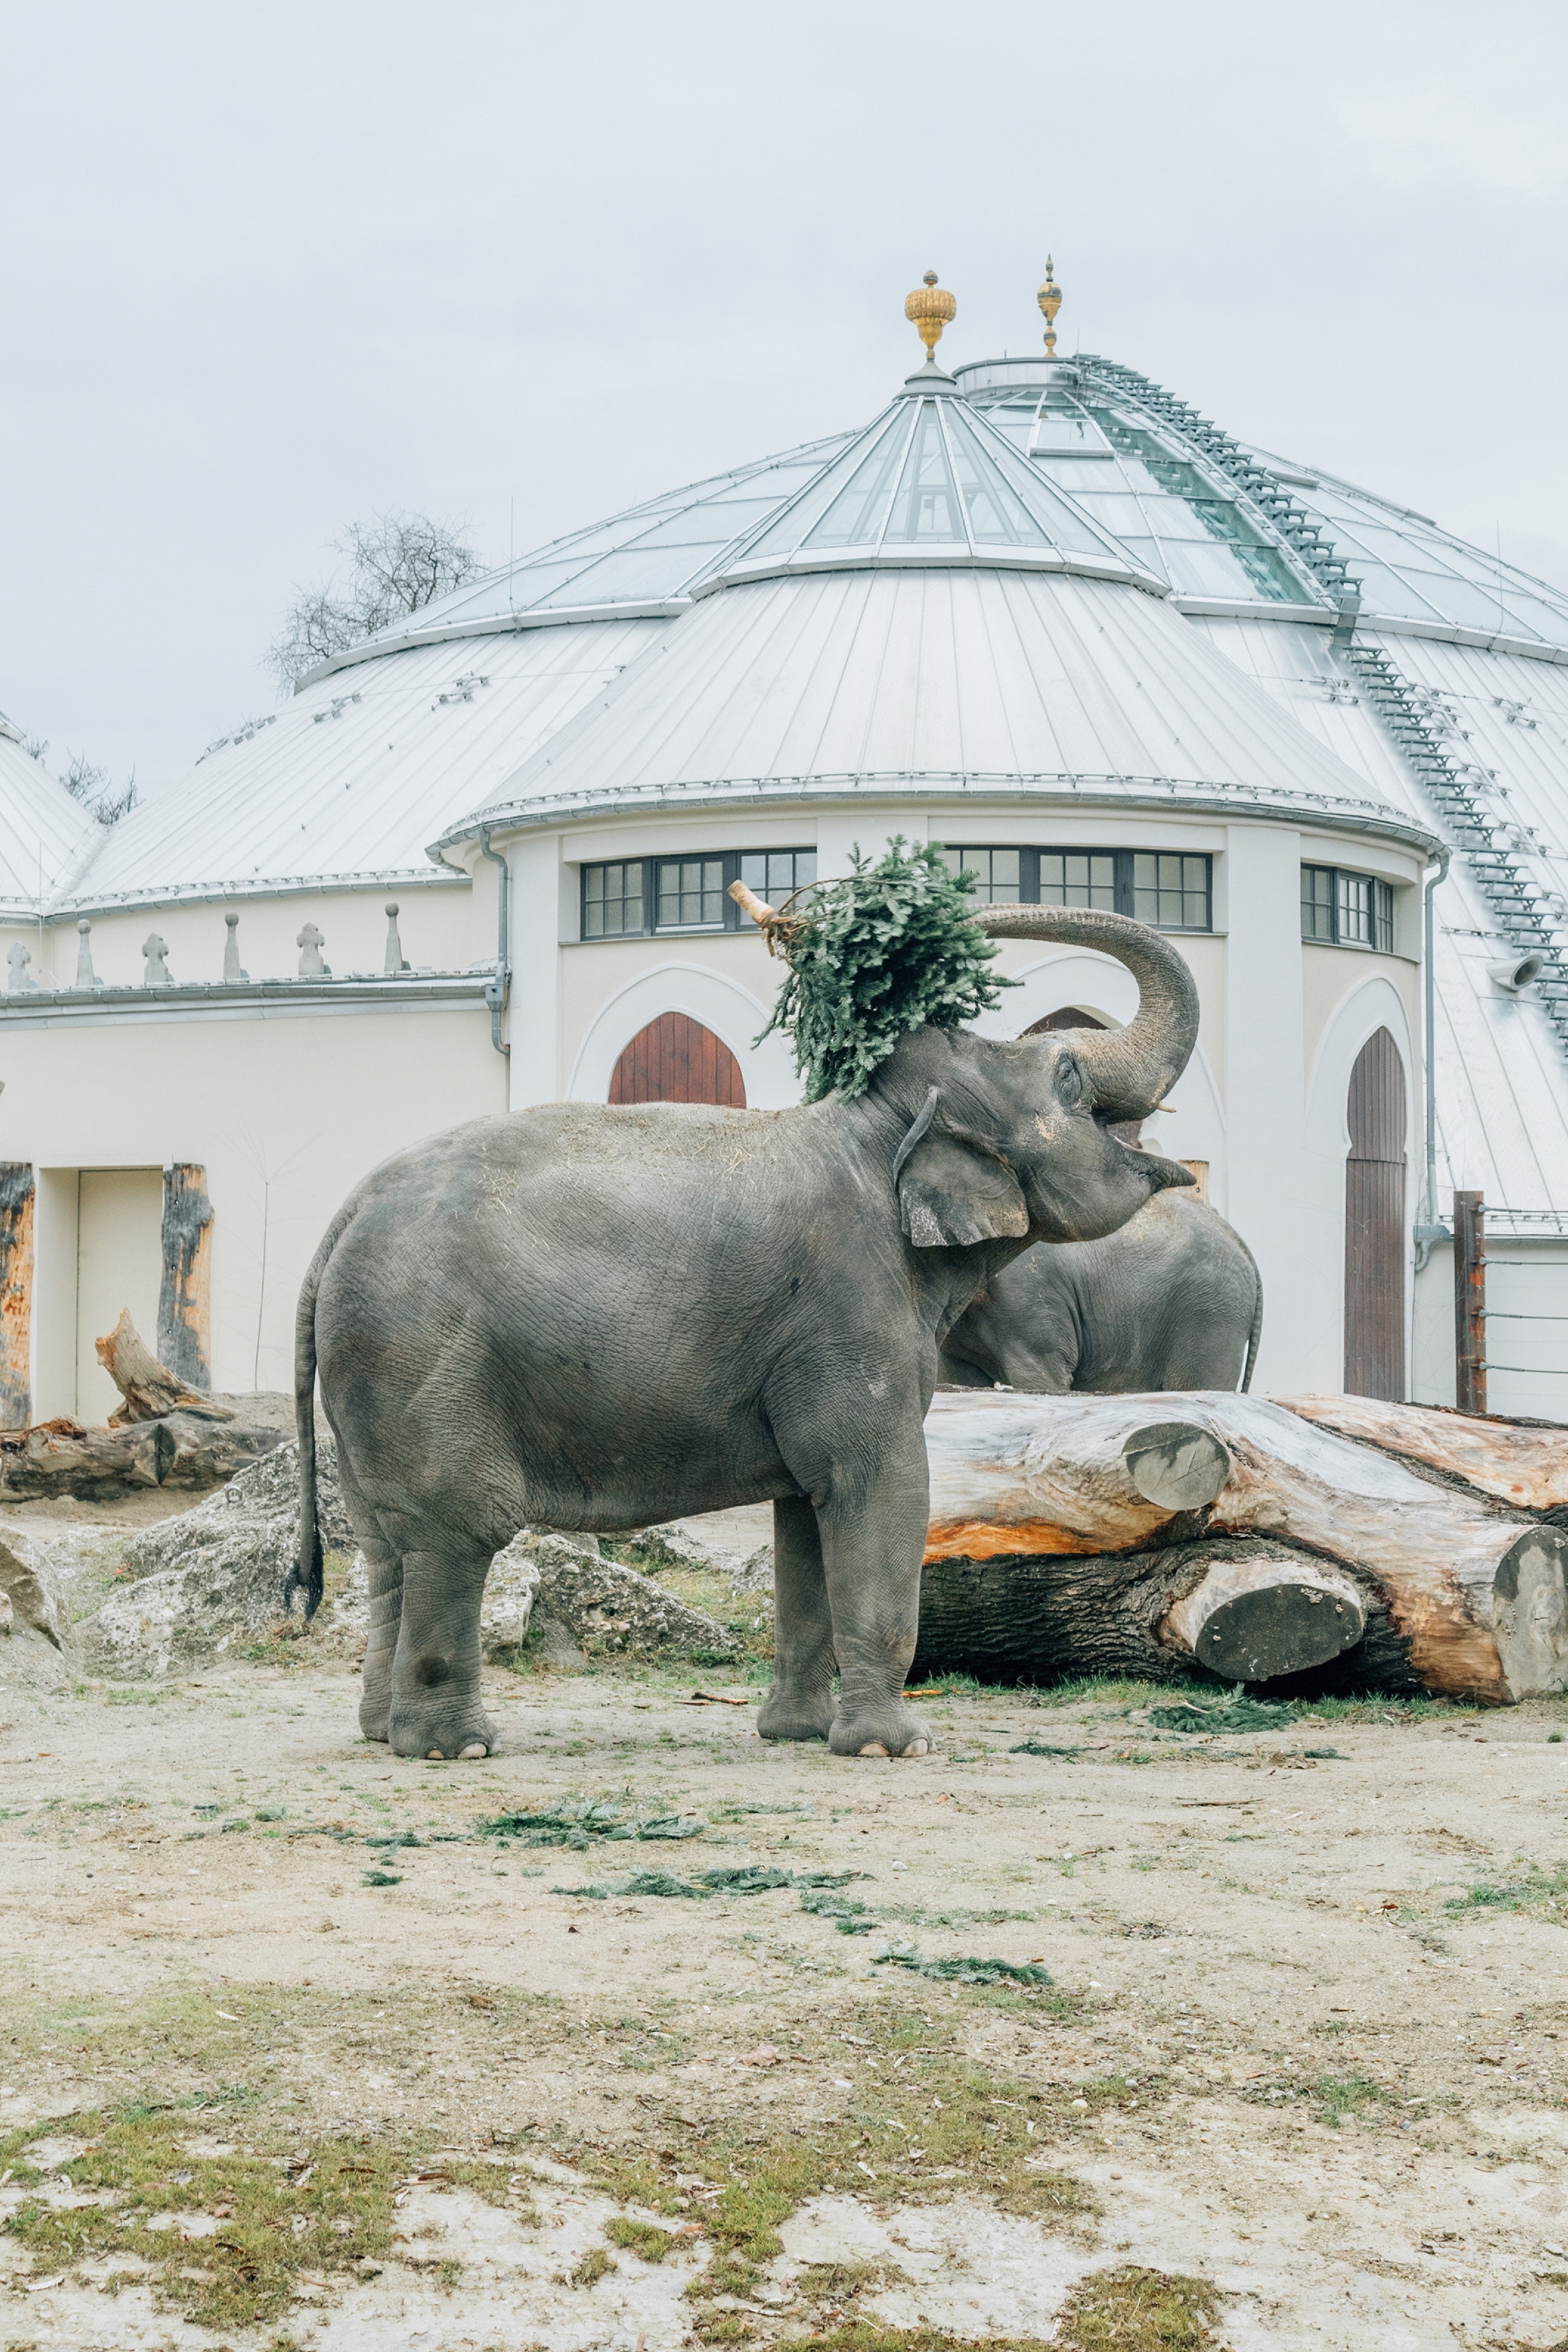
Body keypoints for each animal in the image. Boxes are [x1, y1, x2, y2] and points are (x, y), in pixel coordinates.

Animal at [288, 904, 1199, 1764]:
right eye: (1070, 1077)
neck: (878, 1123)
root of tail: (338, 1223)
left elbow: (804, 1514)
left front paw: (795, 1734)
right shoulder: (850, 1307)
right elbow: (879, 1484)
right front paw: (893, 1747)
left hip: (364, 1379)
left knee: (383, 1547)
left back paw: (380, 1732)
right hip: (424, 1358)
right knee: (456, 1531)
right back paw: (453, 1746)